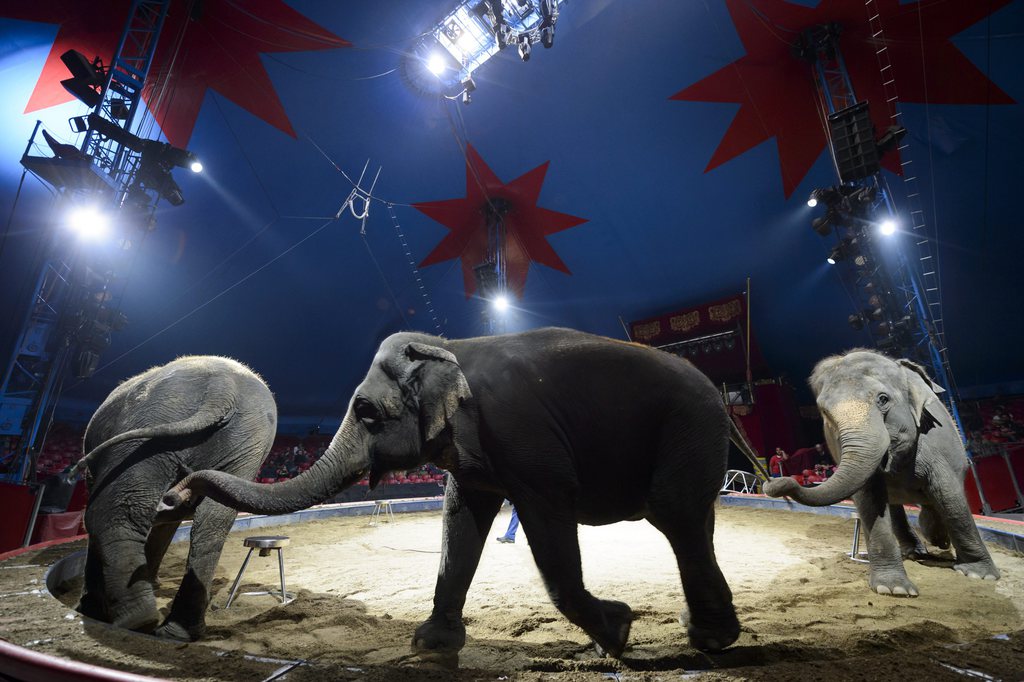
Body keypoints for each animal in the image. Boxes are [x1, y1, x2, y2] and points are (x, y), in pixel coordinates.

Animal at [74, 352, 278, 638]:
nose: (173, 497)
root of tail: (223, 387)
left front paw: (90, 608)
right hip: (243, 443)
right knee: (213, 523)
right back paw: (176, 629)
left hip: (152, 426)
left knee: (109, 512)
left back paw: (137, 619)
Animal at [157, 327, 737, 655]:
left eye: (366, 411)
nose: (173, 494)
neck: (450, 350)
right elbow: (460, 520)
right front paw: (431, 646)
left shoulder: (523, 433)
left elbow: (546, 518)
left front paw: (617, 633)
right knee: (693, 522)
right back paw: (705, 632)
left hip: (690, 427)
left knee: (677, 516)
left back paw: (710, 640)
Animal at [765, 350, 995, 593]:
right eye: (825, 413)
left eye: (883, 399)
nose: (773, 483)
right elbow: (870, 499)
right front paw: (894, 589)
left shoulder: (935, 443)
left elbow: (949, 495)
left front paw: (980, 574)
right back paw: (918, 550)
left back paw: (938, 540)